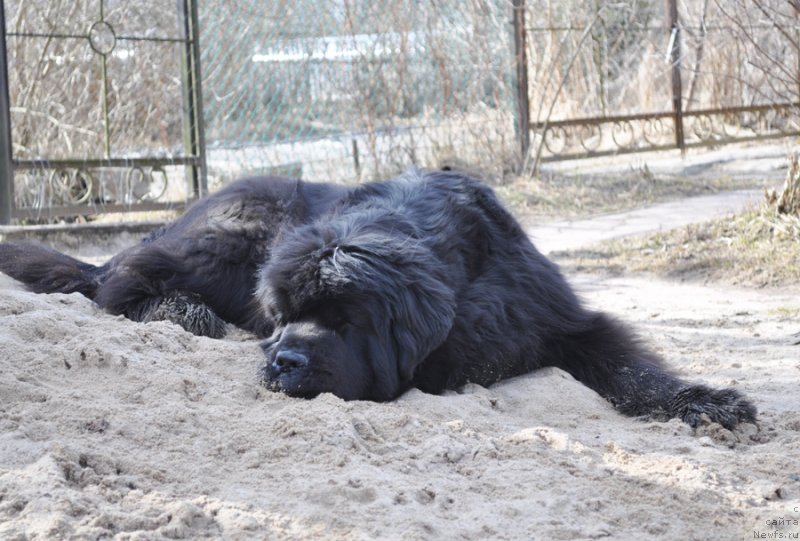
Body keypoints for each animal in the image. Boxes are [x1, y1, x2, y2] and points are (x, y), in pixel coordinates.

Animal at [0, 171, 756, 428]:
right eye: (280, 318)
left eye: (344, 318)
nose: (281, 361)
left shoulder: (561, 320)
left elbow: (632, 368)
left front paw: (708, 402)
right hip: (237, 232)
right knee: (118, 280)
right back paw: (184, 312)